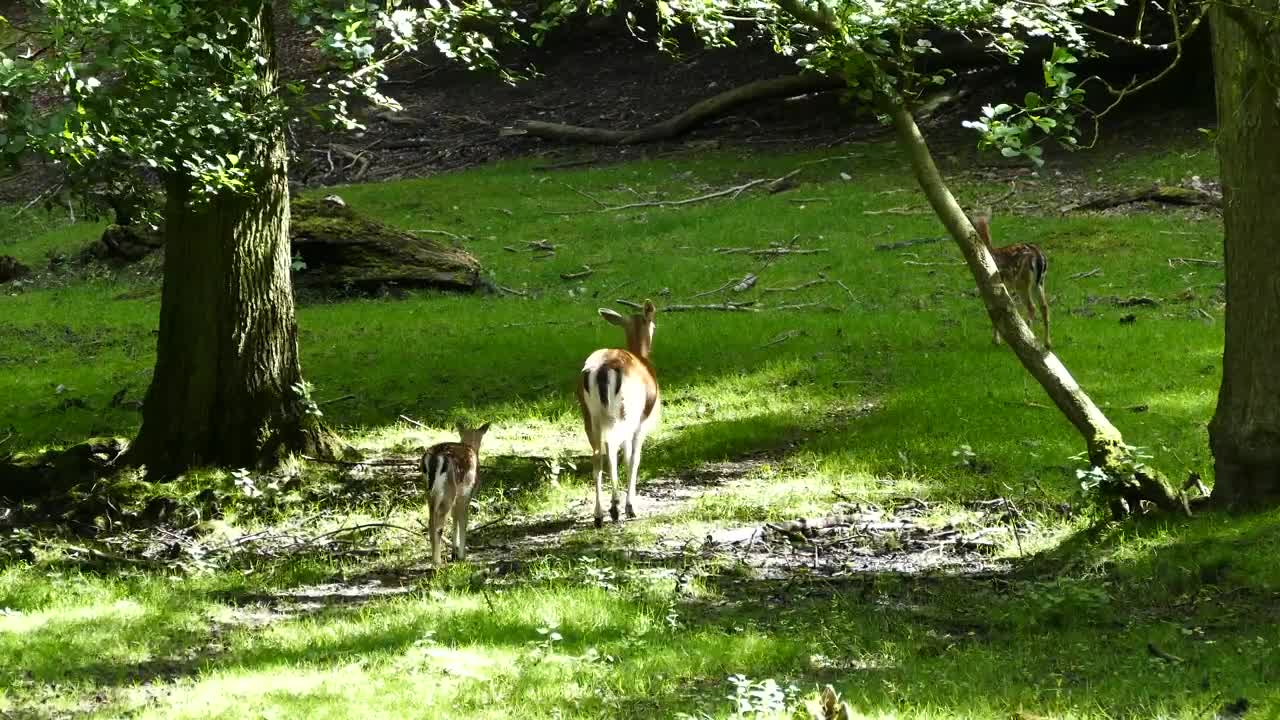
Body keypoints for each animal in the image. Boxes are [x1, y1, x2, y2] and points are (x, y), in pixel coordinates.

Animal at [420, 421, 491, 565]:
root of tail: (434, 458)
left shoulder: (458, 498)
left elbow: (455, 521)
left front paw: (454, 554)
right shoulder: (466, 494)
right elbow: (463, 522)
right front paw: (462, 556)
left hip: (429, 491)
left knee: (431, 520)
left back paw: (435, 559)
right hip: (449, 490)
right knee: (439, 522)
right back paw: (437, 562)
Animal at [577, 300, 661, 528]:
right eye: (653, 324)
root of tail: (602, 370)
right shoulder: (642, 422)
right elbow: (633, 458)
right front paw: (630, 506)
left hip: (590, 414)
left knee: (597, 454)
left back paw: (598, 515)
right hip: (624, 411)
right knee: (612, 448)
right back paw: (615, 508)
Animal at [972, 212, 1051, 350]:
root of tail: (1038, 256)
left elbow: (994, 309)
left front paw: (996, 340)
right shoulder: (1006, 286)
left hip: (1022, 282)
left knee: (1032, 307)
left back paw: (1029, 338)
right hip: (1040, 282)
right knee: (1044, 307)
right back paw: (1047, 343)